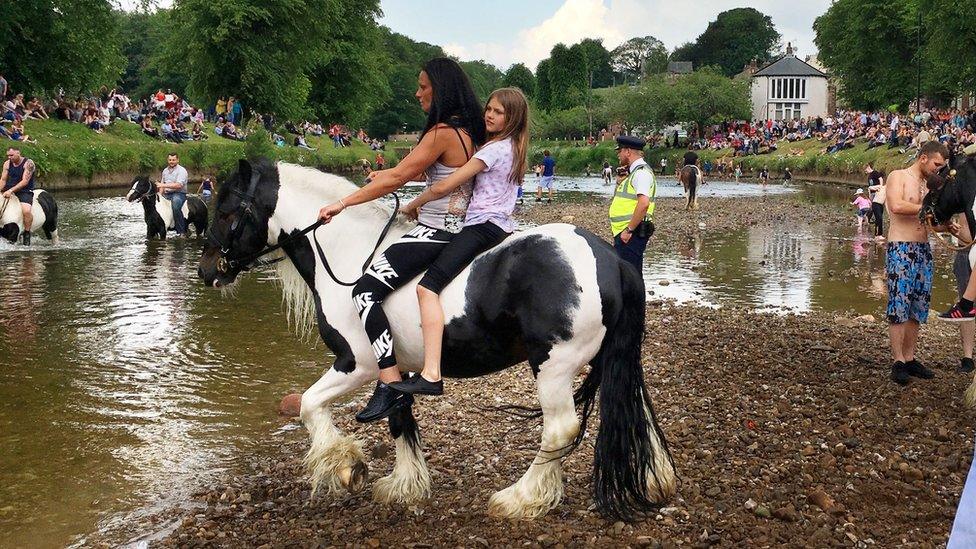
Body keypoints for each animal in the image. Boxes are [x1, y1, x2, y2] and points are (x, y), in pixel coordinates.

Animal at [194, 157, 676, 520]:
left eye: (227, 210)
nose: (207, 271)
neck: (351, 252)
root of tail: (610, 259)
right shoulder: (396, 371)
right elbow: (398, 418)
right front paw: (403, 485)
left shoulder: (357, 364)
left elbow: (310, 404)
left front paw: (346, 467)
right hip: (613, 356)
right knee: (634, 405)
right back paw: (657, 482)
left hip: (553, 367)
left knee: (559, 429)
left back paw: (521, 498)